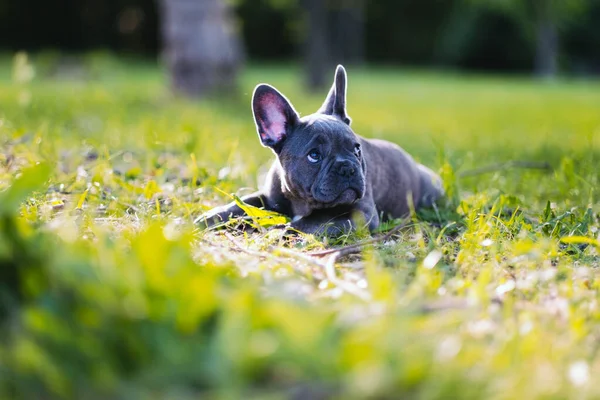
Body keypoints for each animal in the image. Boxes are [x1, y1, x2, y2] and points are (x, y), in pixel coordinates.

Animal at [199, 64, 442, 236]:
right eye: (314, 156)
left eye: (357, 150)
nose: (347, 168)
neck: (302, 203)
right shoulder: (269, 198)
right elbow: (244, 202)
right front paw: (211, 217)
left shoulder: (360, 213)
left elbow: (313, 222)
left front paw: (281, 231)